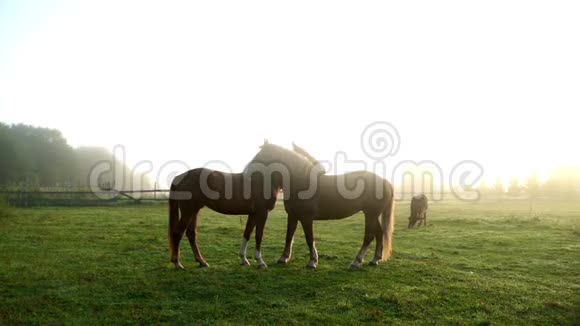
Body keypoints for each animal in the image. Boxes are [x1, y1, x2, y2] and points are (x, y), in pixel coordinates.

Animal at [242, 144, 396, 268]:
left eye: (262, 155)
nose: (246, 173)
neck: (301, 183)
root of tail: (385, 181)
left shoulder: (306, 218)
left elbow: (309, 238)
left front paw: (312, 261)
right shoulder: (293, 216)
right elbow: (289, 236)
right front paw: (283, 258)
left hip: (370, 214)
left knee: (369, 236)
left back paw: (356, 262)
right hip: (371, 214)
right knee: (379, 233)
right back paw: (374, 260)